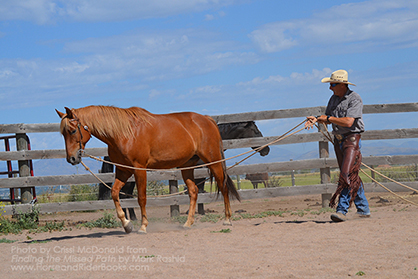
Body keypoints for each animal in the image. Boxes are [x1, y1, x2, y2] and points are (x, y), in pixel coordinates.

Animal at [56, 105, 240, 234]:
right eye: (63, 134)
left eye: (72, 130)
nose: (71, 159)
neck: (124, 133)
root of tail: (207, 119)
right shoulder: (124, 171)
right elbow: (115, 193)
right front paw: (127, 224)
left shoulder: (139, 169)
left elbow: (141, 198)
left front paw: (143, 226)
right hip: (187, 165)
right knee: (194, 191)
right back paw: (188, 223)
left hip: (213, 161)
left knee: (223, 186)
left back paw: (227, 219)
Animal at [96, 121, 270, 218]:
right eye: (255, 130)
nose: (266, 150)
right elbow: (198, 189)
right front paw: (198, 212)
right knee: (124, 193)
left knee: (124, 193)